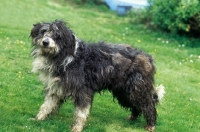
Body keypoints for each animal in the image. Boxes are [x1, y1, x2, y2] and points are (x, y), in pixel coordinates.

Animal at [29, 19, 164, 132]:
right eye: (43, 32)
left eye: (57, 36)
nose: (45, 42)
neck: (65, 56)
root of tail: (148, 58)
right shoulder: (56, 87)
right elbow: (47, 105)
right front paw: (39, 119)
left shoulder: (83, 90)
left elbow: (81, 112)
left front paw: (77, 128)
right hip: (124, 92)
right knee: (137, 106)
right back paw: (132, 117)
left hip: (136, 89)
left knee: (148, 105)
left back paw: (151, 125)